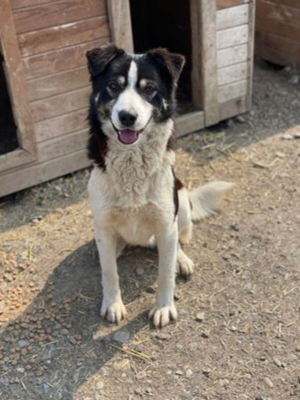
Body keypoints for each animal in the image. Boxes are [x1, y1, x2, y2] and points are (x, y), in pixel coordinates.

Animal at [85, 46, 233, 328]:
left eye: (149, 88)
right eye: (113, 86)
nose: (127, 117)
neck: (132, 163)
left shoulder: (166, 221)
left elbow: (165, 273)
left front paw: (164, 307)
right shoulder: (104, 225)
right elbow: (109, 272)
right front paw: (113, 304)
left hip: (181, 202)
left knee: (177, 242)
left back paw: (181, 260)